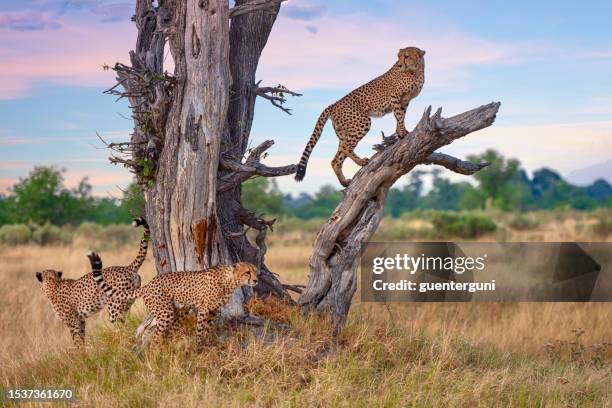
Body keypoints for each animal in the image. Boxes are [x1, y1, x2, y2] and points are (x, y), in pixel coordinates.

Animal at [87, 252, 256, 350]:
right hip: (165, 312)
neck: (230, 281)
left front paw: (207, 342)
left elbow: (208, 328)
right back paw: (156, 351)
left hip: (167, 311)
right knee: (155, 335)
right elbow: (200, 328)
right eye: (247, 272)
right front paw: (199, 345)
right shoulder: (204, 309)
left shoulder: (213, 310)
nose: (256, 280)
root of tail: (149, 284)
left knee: (145, 329)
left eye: (255, 271)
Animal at [296, 46, 426, 186]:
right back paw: (361, 162)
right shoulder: (395, 97)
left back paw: (344, 182)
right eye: (399, 56)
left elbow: (401, 116)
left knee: (336, 159)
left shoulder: (405, 100)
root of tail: (333, 104)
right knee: (345, 147)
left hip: (344, 132)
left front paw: (401, 131)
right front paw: (402, 132)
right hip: (362, 122)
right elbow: (399, 116)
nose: (400, 64)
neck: (416, 70)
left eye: (406, 56)